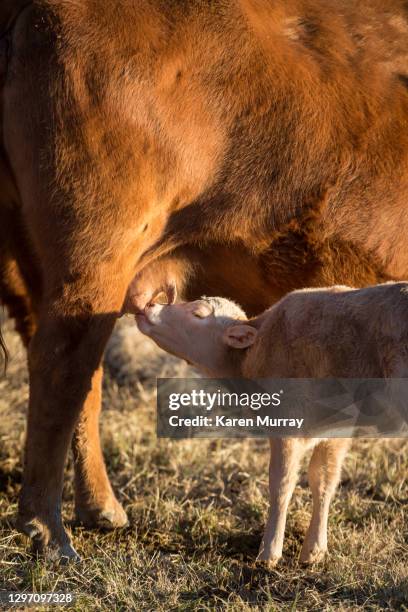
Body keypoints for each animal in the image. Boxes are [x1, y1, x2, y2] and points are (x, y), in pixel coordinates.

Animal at [135, 284, 408, 568]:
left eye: (198, 313)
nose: (148, 306)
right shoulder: (337, 429)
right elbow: (323, 480)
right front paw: (314, 551)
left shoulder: (287, 422)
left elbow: (281, 484)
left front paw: (269, 553)